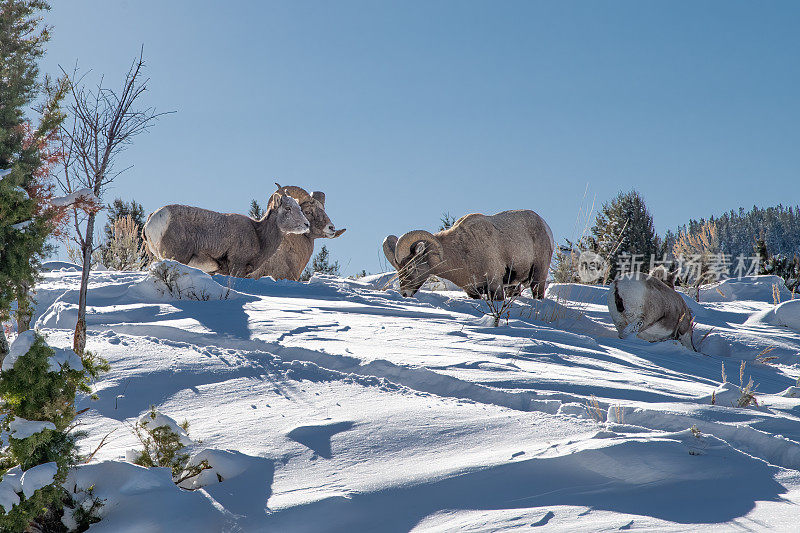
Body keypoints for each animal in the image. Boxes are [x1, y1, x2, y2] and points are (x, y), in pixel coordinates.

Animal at [144, 184, 310, 276]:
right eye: (288, 208)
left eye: (299, 208)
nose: (306, 224)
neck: (258, 235)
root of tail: (154, 217)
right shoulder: (237, 266)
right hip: (175, 258)